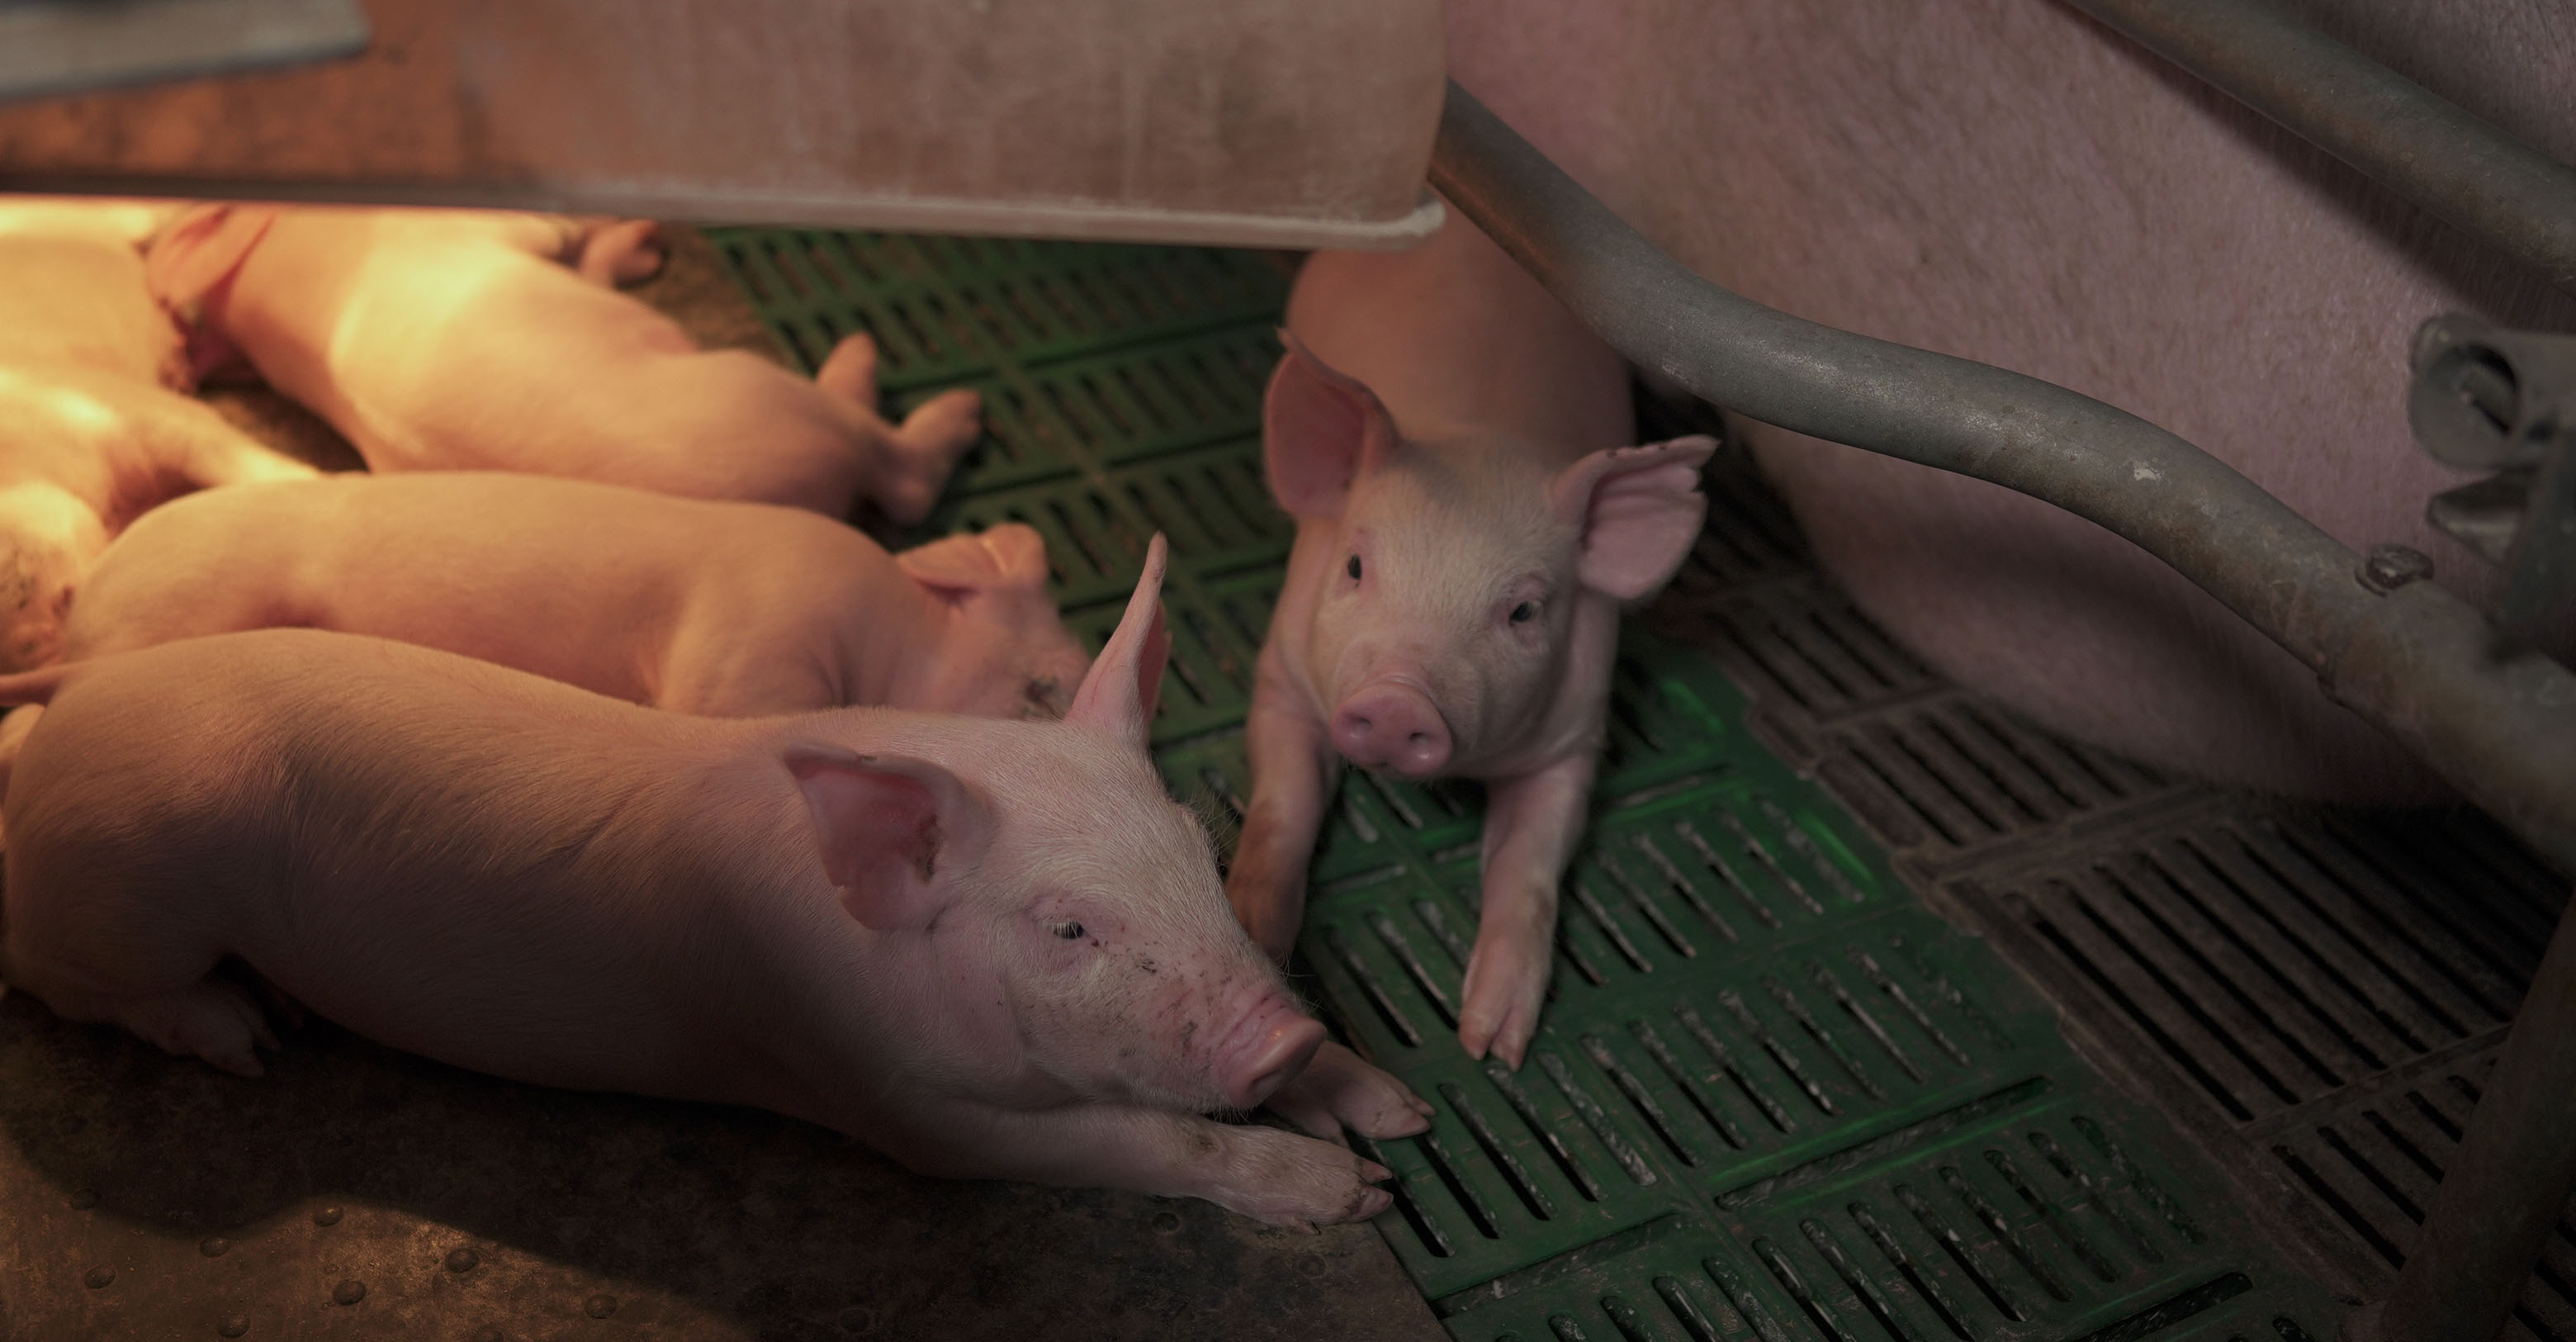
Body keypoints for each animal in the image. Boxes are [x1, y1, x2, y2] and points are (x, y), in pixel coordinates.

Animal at [0, 537, 1429, 1229]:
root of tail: (67, 708)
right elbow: (1145, 1138)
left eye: (1195, 848)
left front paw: (1398, 1114)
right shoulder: (894, 1101)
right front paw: (1361, 1196)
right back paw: (253, 1036)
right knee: (72, 985)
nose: (1276, 1033)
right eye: (1068, 926)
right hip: (132, 884)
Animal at [140, 204, 984, 525]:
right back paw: (915, 383)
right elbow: (552, 231)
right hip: (772, 395)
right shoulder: (500, 232)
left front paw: (643, 243)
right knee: (904, 480)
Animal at [1227, 212, 1714, 1067]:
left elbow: (1529, 863)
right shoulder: (1281, 676)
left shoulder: (1575, 737)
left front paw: (1492, 1042)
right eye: (1355, 565)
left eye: (1523, 611)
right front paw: (1254, 929)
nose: (1397, 701)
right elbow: (1284, 801)